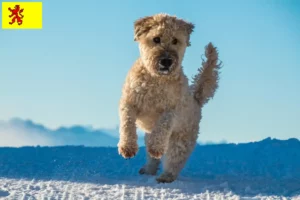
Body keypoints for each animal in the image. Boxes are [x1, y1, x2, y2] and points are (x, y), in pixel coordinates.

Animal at [117, 13, 223, 183]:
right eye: (156, 38)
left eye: (175, 40)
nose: (166, 61)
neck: (156, 80)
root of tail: (196, 99)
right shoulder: (129, 102)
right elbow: (127, 123)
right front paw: (127, 147)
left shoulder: (172, 110)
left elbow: (163, 125)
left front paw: (156, 148)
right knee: (153, 159)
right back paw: (148, 169)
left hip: (181, 140)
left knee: (174, 160)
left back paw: (165, 176)